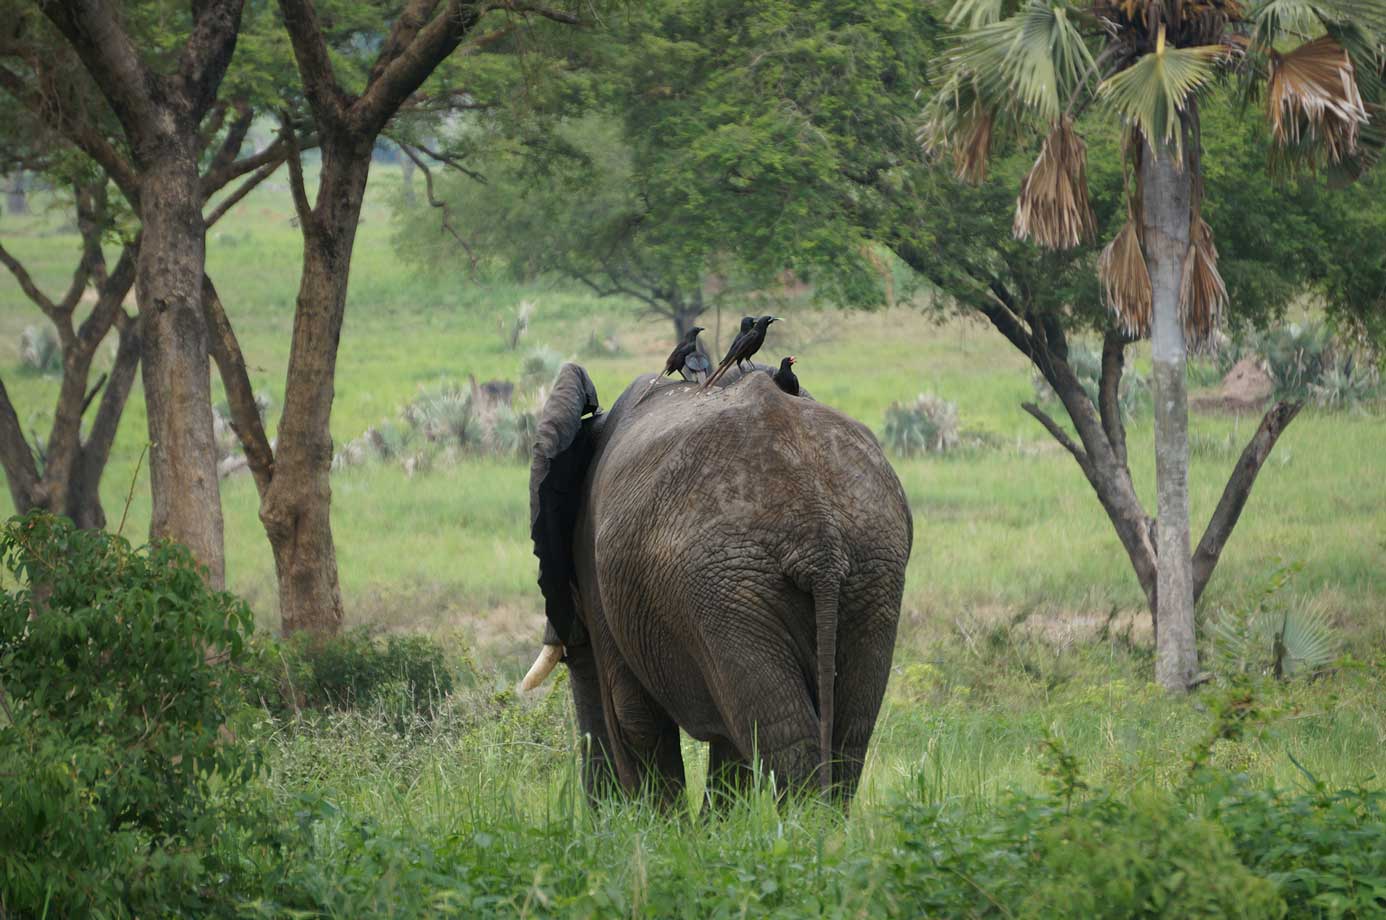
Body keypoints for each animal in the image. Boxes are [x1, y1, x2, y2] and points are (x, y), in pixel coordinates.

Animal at [521, 361, 912, 807]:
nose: (602, 816)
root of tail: (820, 535)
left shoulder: (597, 566)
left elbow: (633, 719)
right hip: (868, 573)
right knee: (845, 731)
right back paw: (824, 821)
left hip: (726, 587)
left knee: (781, 731)